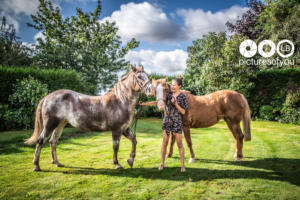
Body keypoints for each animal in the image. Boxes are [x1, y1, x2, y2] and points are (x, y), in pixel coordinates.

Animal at [25, 65, 155, 170]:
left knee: (53, 141)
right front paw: (117, 164)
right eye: (139, 77)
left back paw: (57, 162)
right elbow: (116, 146)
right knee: (40, 141)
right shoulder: (117, 130)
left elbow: (134, 140)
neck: (120, 100)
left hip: (60, 124)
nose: (152, 90)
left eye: (147, 75)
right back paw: (36, 166)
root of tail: (47, 97)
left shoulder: (125, 129)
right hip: (50, 124)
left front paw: (130, 160)